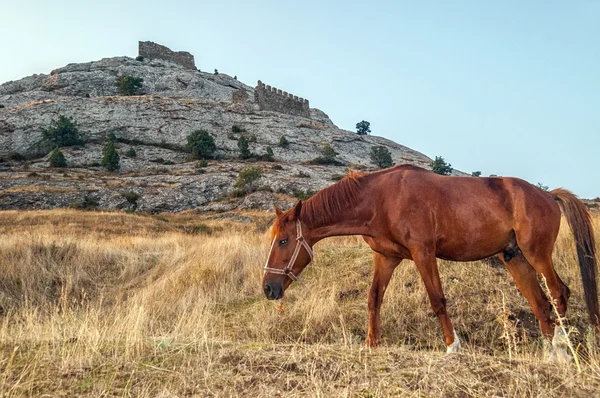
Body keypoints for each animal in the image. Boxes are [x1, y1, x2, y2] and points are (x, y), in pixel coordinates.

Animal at [264, 163, 596, 356]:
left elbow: (437, 300)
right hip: (514, 258)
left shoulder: (423, 253)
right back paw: (551, 353)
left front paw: (453, 347)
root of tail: (549, 195)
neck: (381, 199)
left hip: (537, 254)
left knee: (559, 293)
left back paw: (562, 347)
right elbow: (374, 298)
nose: (268, 288)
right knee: (540, 303)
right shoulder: (386, 257)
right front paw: (372, 343)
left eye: (284, 241)